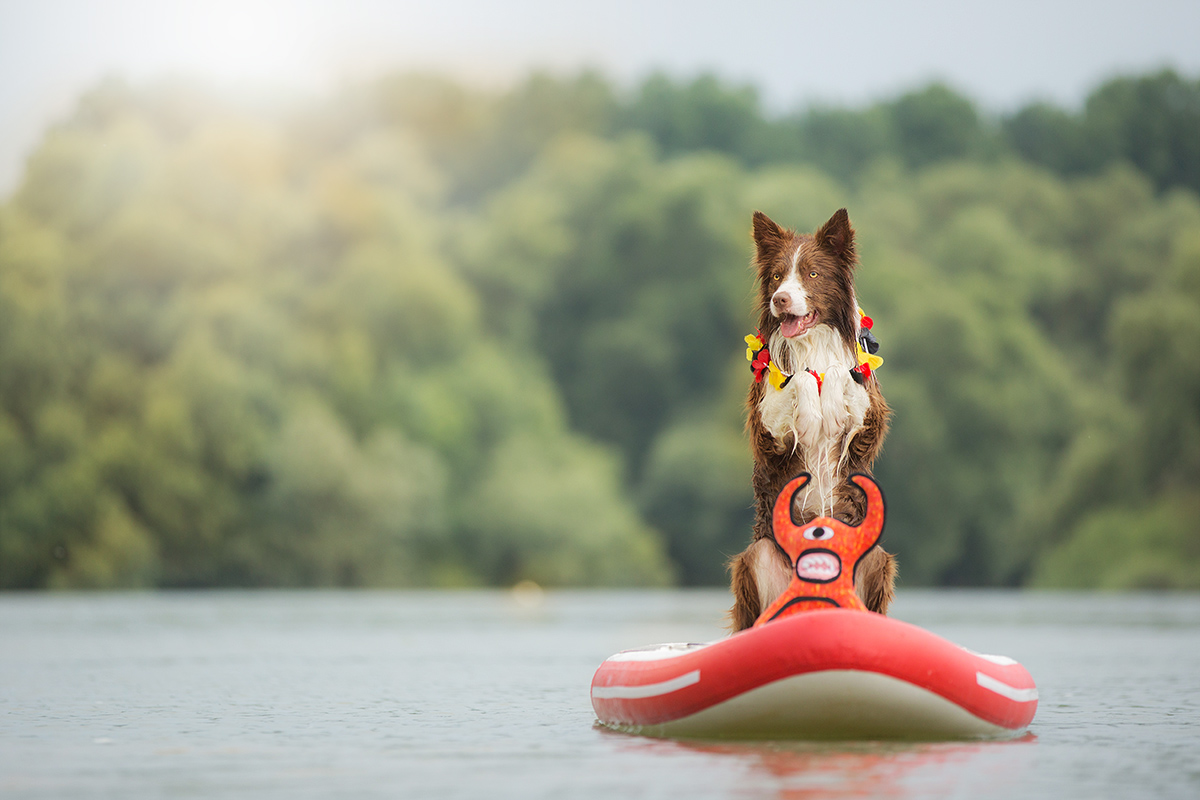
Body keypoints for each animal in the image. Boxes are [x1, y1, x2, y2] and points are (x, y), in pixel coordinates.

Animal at [724, 209, 897, 633]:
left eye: (812, 274)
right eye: (775, 277)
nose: (780, 299)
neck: (812, 342)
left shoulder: (870, 419)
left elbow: (835, 374)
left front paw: (829, 407)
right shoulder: (767, 432)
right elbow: (800, 377)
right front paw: (812, 409)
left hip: (876, 558)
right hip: (757, 556)